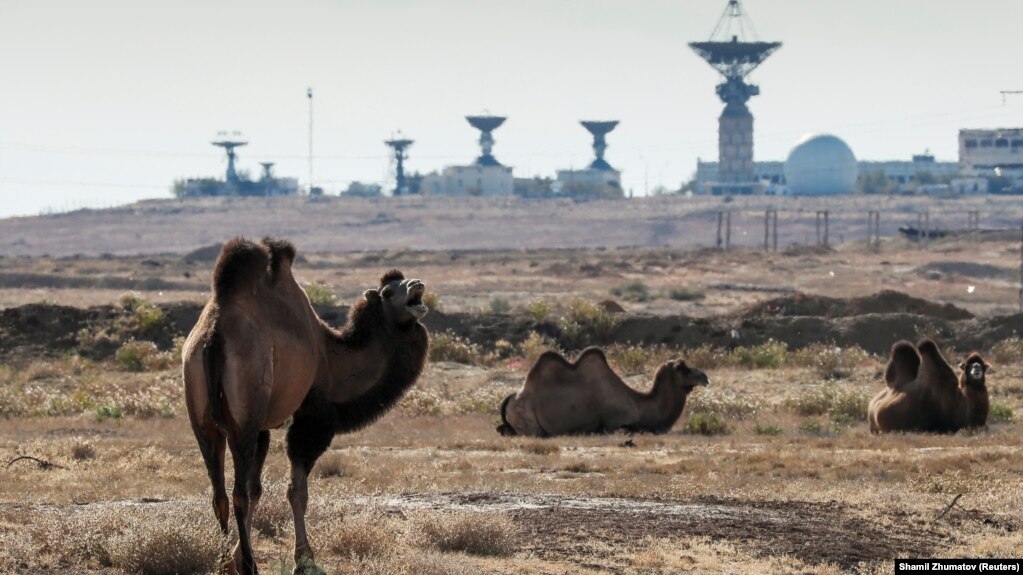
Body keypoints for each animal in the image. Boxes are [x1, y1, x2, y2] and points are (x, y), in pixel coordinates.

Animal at [182, 235, 429, 568]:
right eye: (389, 292)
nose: (417, 284)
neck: (331, 359)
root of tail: (213, 336)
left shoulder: (265, 425)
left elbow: (258, 488)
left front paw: (235, 555)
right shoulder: (310, 419)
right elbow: (296, 490)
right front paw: (304, 557)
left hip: (201, 412)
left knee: (219, 493)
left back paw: (223, 561)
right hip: (244, 415)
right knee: (237, 494)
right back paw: (248, 566)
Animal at [497, 347, 707, 435]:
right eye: (682, 368)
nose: (705, 377)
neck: (641, 405)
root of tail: (510, 400)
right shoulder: (618, 424)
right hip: (527, 420)